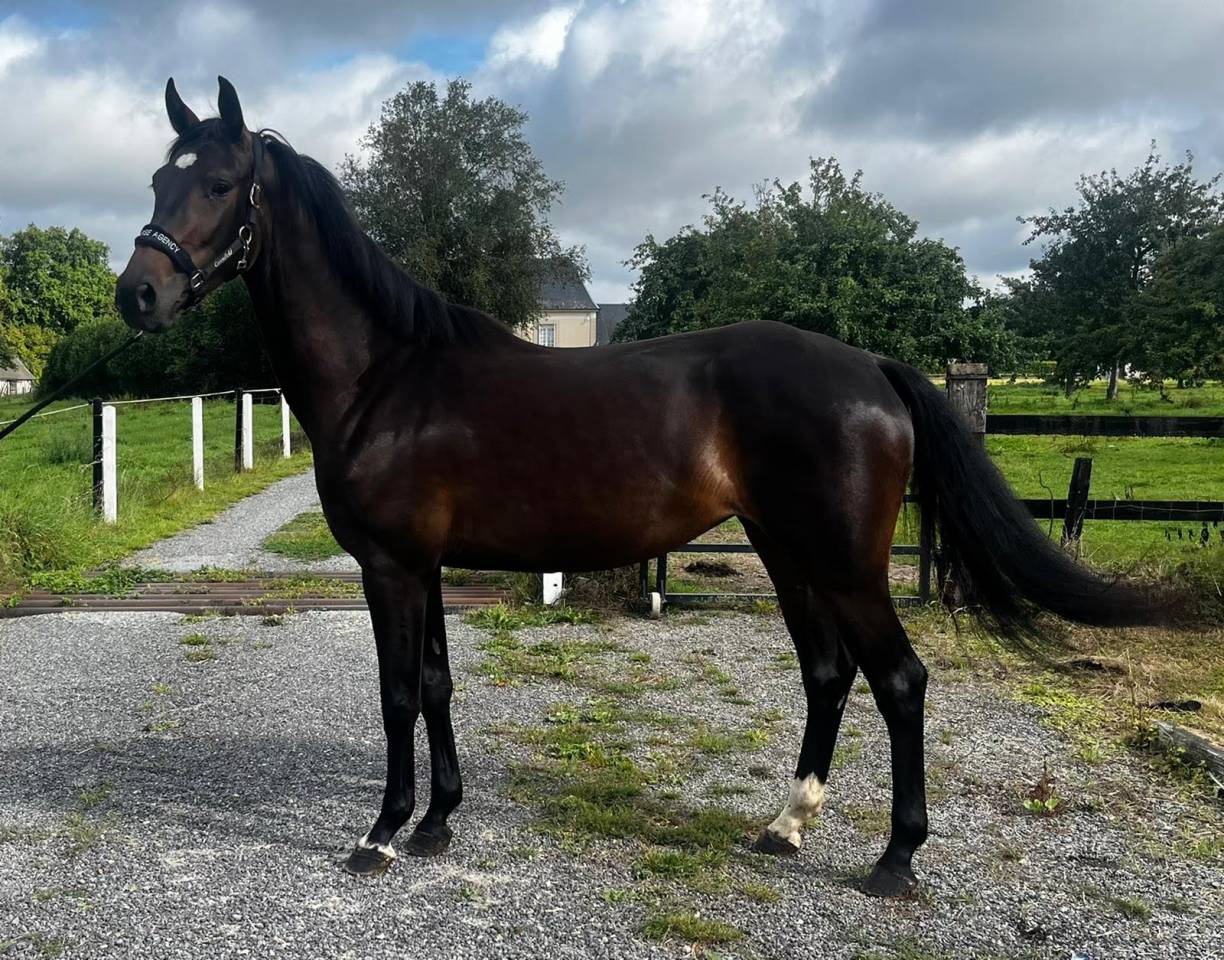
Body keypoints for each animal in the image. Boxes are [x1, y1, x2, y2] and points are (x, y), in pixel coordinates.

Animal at [114, 76, 1165, 898]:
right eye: (160, 178)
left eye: (218, 182)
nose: (137, 295)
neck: (390, 375)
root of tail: (870, 366)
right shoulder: (427, 567)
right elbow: (440, 686)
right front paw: (439, 822)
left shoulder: (391, 567)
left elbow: (398, 693)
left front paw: (382, 834)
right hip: (787, 553)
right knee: (828, 674)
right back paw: (785, 826)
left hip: (845, 564)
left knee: (899, 680)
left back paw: (895, 860)